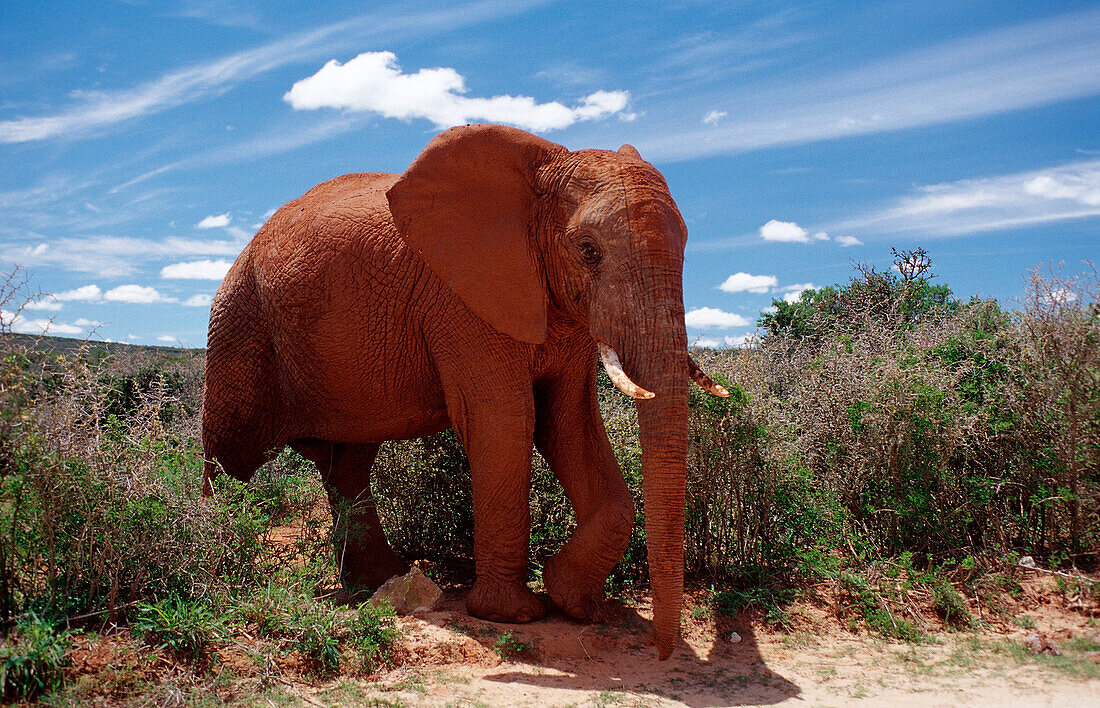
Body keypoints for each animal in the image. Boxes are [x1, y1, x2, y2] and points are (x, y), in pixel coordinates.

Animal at [200, 123, 730, 659]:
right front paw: (513, 615)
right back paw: (212, 553)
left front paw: (578, 604)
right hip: (239, 324)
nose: (662, 651)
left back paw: (377, 585)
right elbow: (507, 421)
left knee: (347, 464)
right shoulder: (462, 301)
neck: (539, 173)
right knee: (229, 453)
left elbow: (569, 425)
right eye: (588, 250)